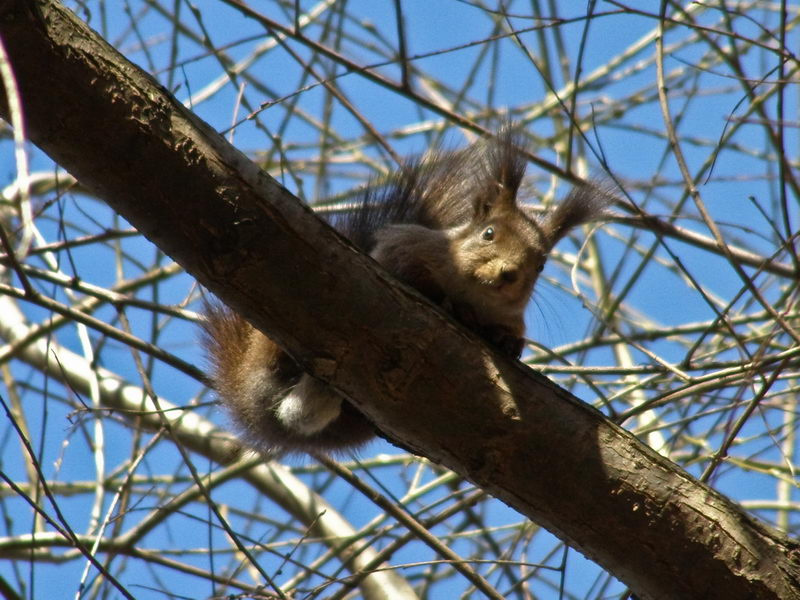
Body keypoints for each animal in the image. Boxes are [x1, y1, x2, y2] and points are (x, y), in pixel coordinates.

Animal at [202, 127, 610, 455]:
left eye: (540, 264)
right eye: (489, 233)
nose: (509, 273)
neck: (474, 294)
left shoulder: (511, 316)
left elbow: (510, 333)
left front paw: (505, 341)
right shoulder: (406, 245)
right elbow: (410, 272)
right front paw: (447, 301)